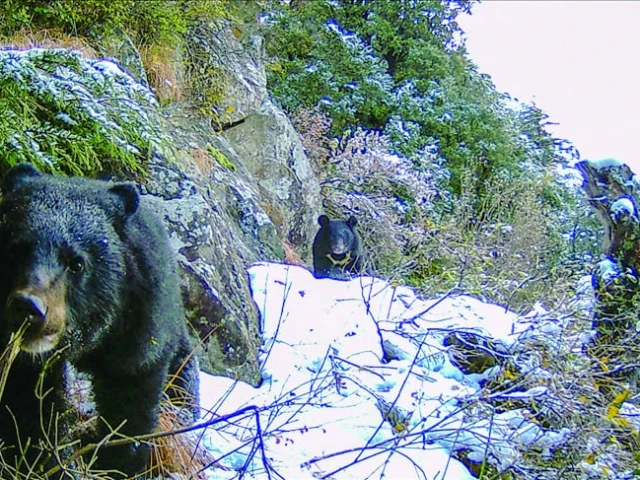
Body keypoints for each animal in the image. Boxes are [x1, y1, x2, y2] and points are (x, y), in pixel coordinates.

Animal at [0, 163, 200, 479]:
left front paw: (117, 462)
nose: (29, 307)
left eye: (76, 263)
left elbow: (129, 404)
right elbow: (26, 409)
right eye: (15, 250)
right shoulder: (23, 361)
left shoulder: (137, 326)